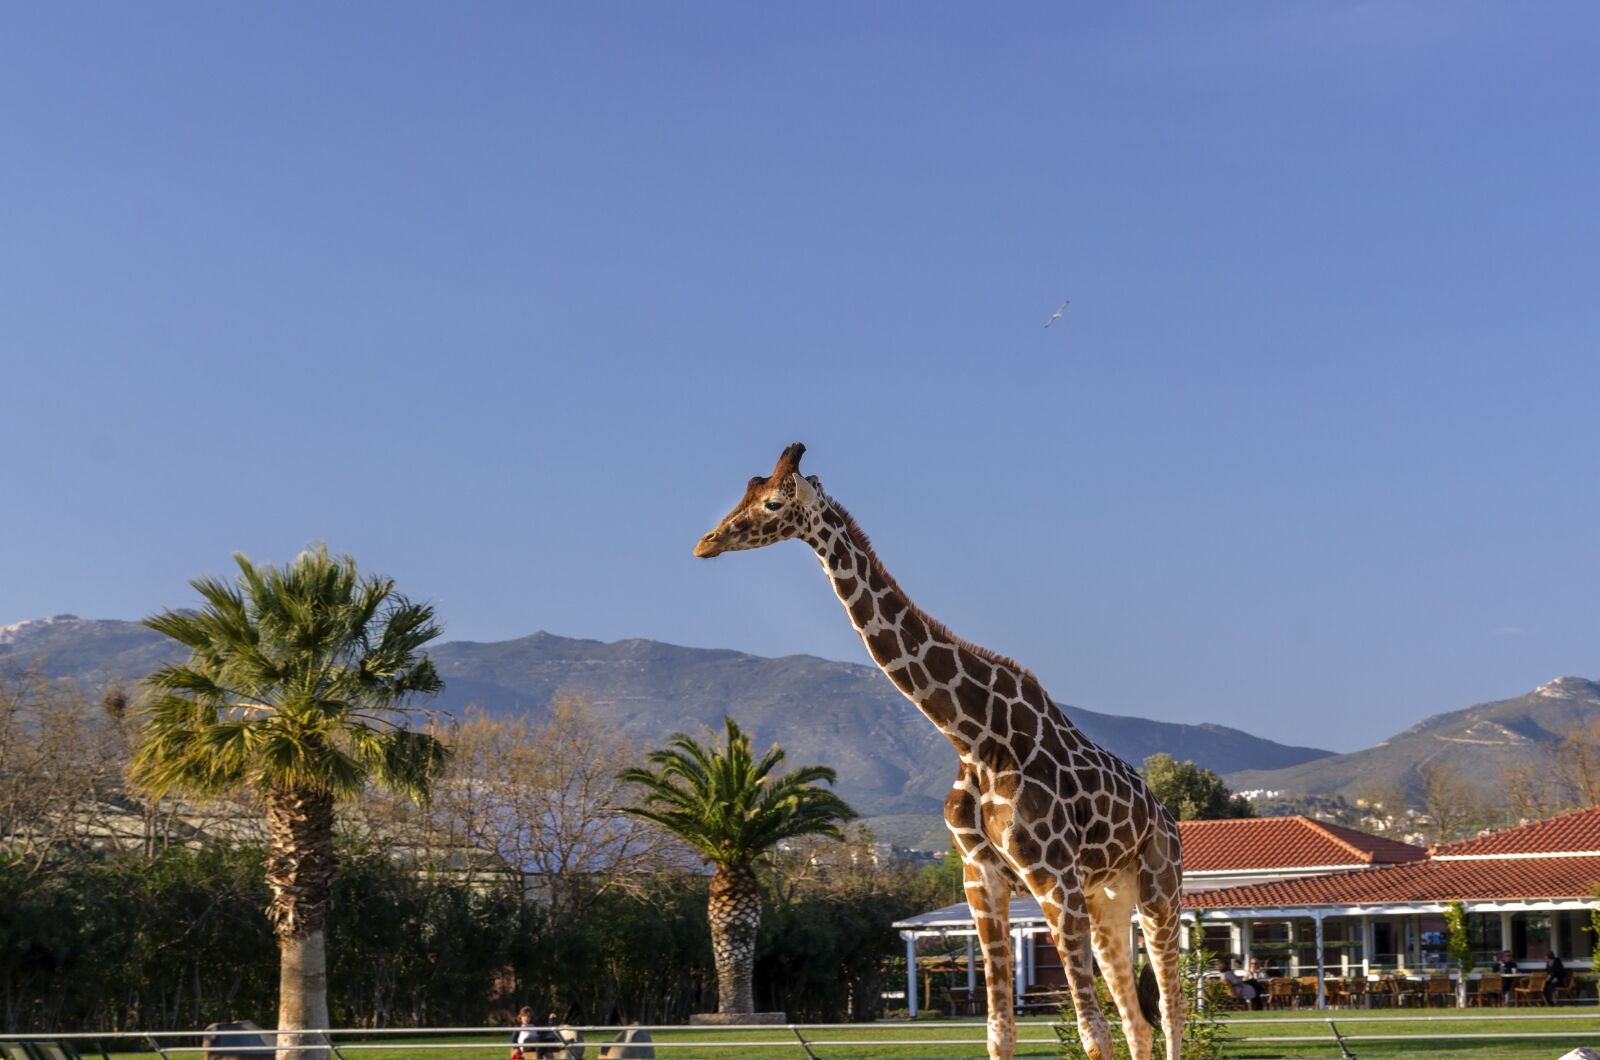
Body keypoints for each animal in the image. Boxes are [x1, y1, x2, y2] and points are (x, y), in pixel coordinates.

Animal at [693, 443, 1185, 1060]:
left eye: (773, 503)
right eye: (748, 489)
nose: (706, 541)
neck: (974, 736)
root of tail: (1166, 815)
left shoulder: (1053, 878)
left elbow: (1092, 1035)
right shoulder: (983, 879)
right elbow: (1000, 1033)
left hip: (1160, 890)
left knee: (1169, 1012)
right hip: (1108, 900)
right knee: (1138, 1023)